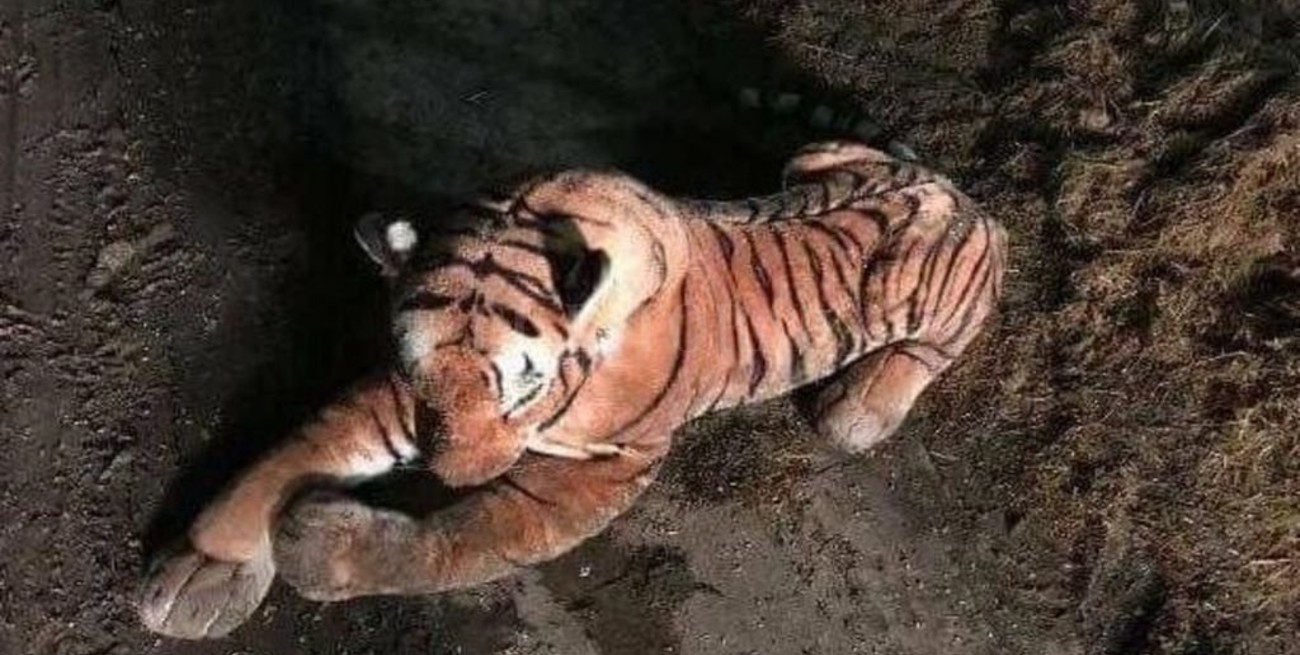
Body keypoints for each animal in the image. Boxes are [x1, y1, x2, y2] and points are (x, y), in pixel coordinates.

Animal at [137, 139, 1007, 639]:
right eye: (425, 380)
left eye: (516, 393)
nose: (446, 472)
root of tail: (954, 187)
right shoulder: (402, 393)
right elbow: (292, 450)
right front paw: (202, 570)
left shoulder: (598, 468)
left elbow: (465, 537)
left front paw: (321, 547)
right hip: (814, 156)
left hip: (923, 293)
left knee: (946, 328)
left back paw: (859, 405)